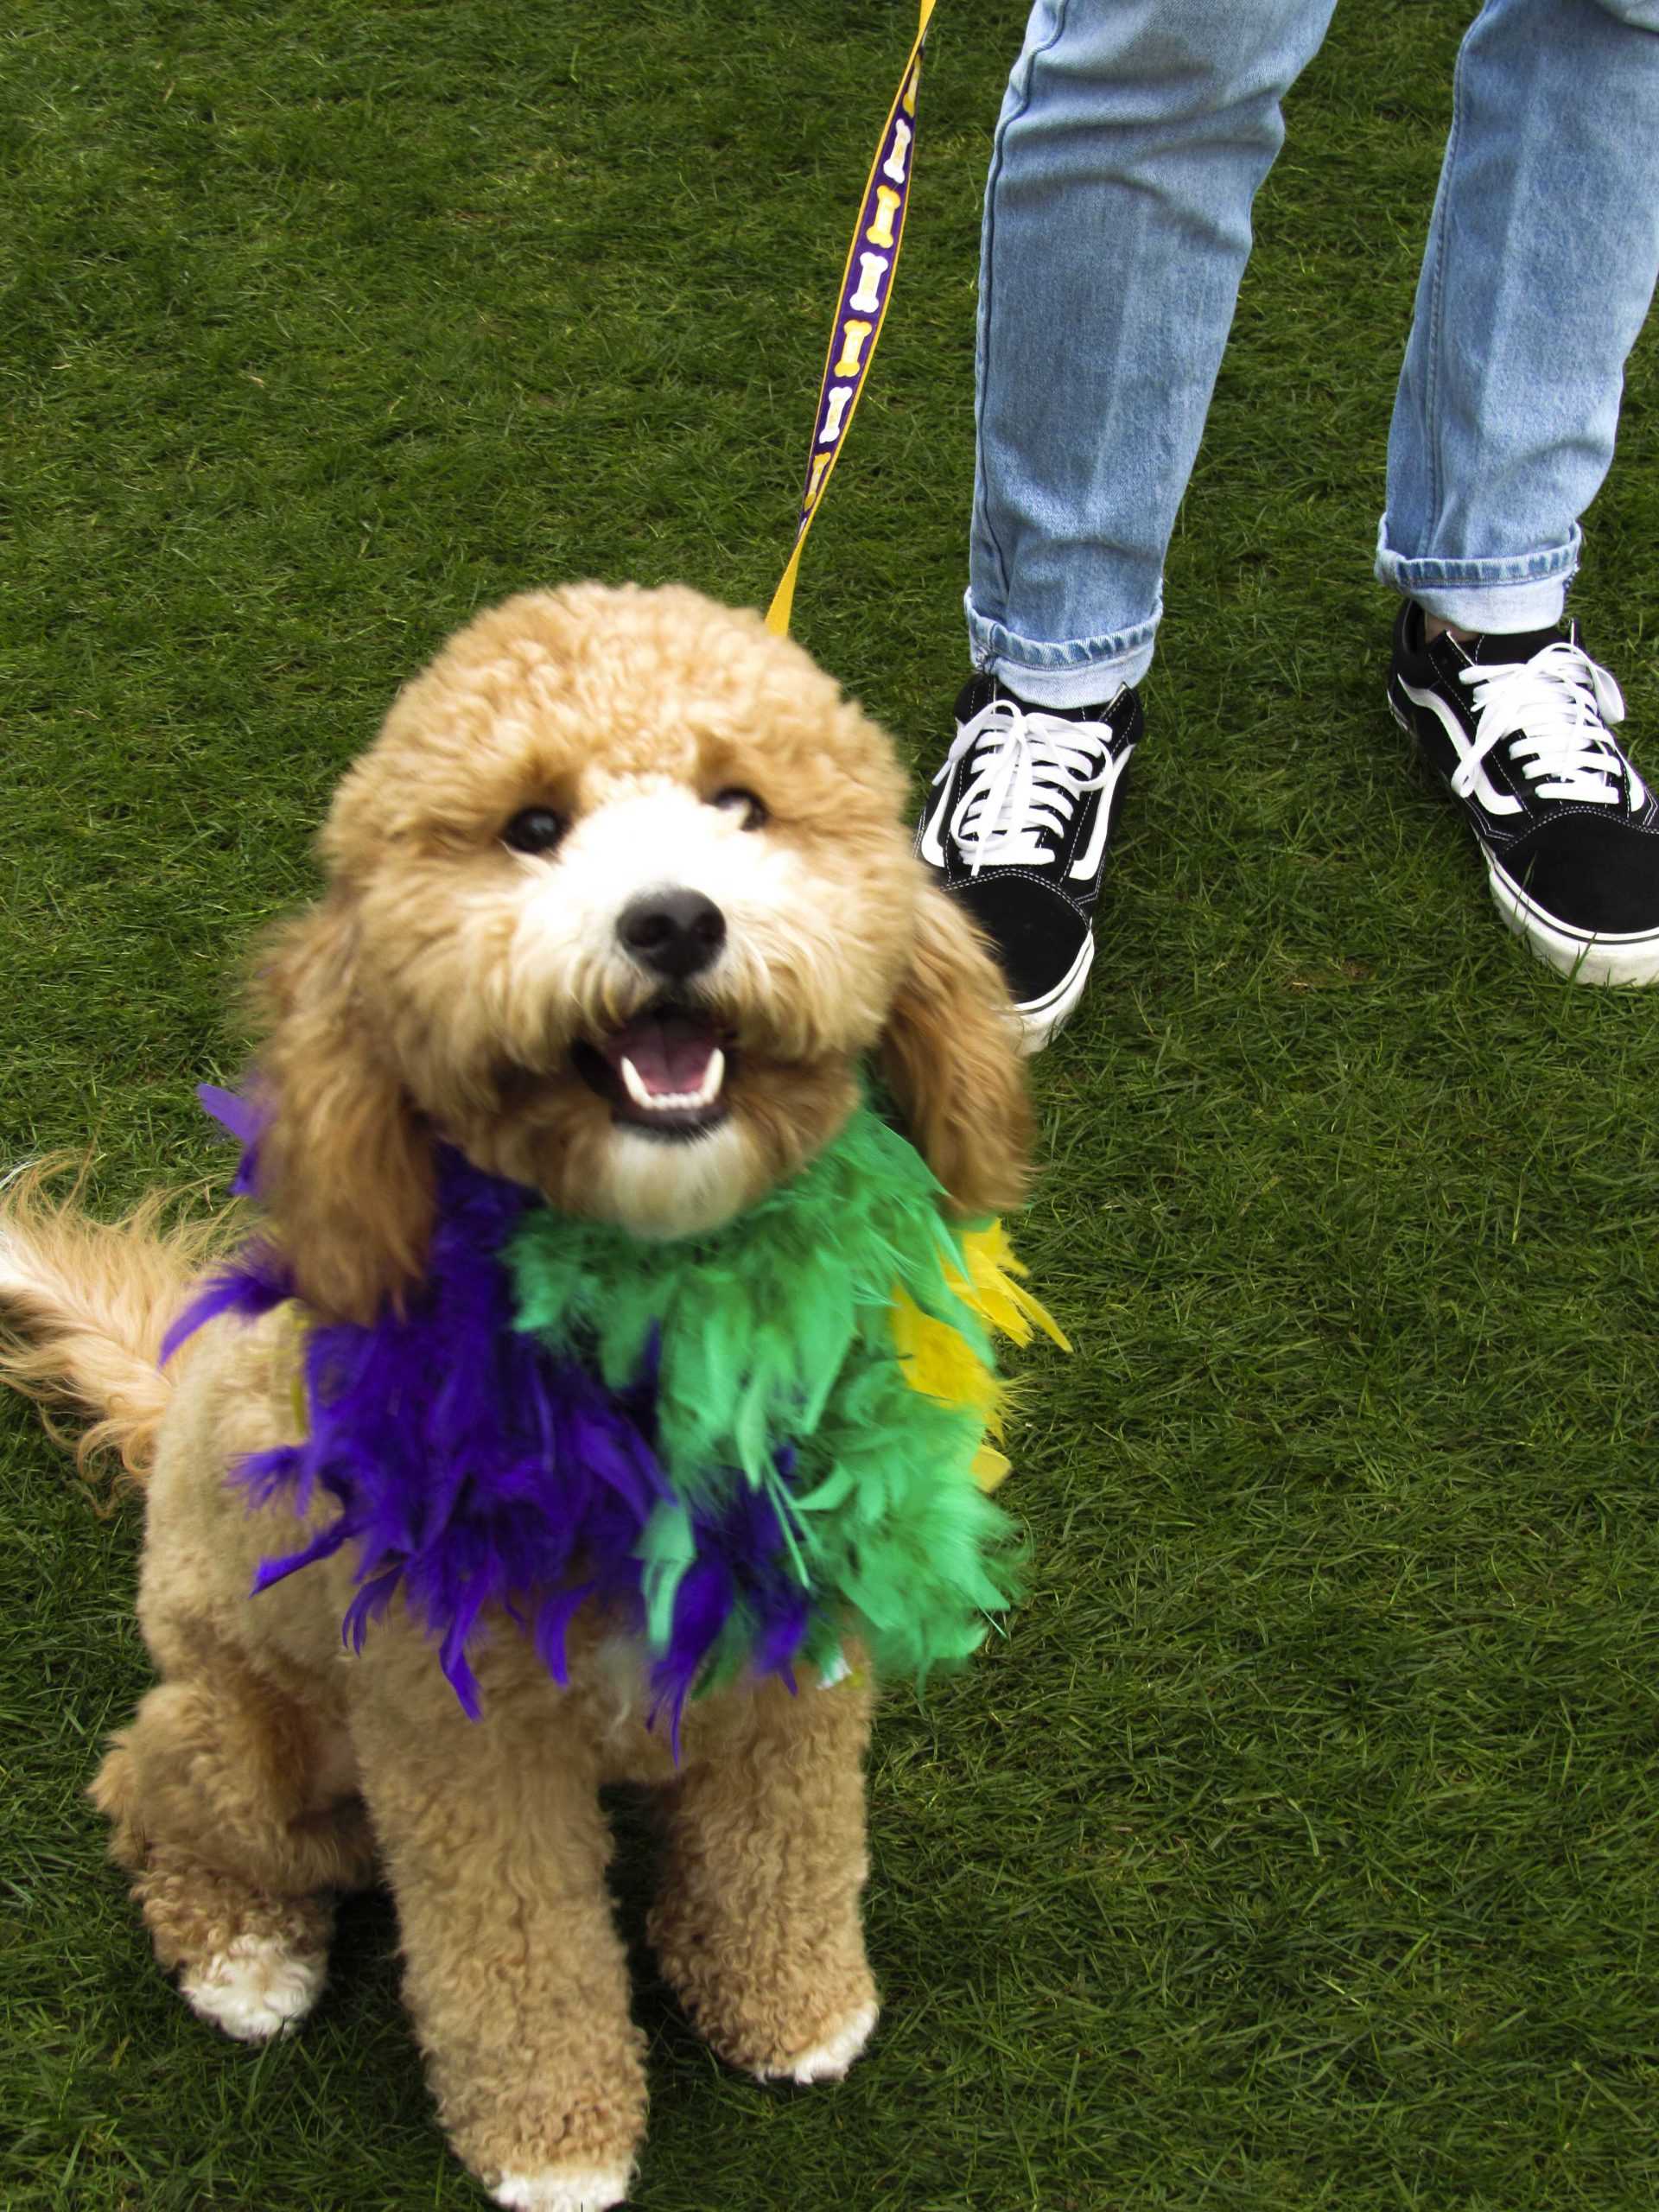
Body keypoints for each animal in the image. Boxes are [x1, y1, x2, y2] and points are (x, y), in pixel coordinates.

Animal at [0, 588, 1039, 2212]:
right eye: (531, 826)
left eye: (743, 804)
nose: (673, 919)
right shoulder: (460, 1737)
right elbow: (516, 1955)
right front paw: (556, 2143)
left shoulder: (795, 1662)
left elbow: (787, 1853)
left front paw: (793, 2003)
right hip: (259, 1729)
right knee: (153, 1791)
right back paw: (245, 1954)